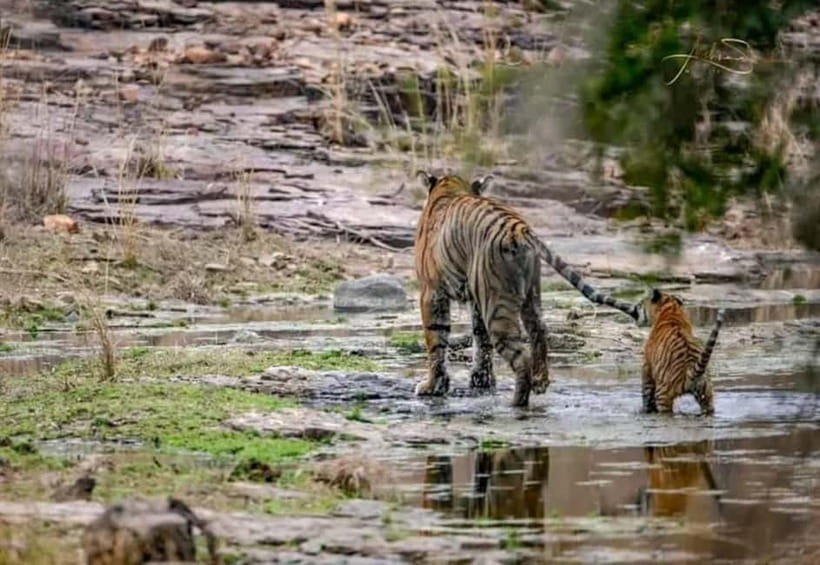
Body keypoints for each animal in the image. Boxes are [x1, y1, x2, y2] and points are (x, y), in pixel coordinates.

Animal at [413, 171, 643, 408]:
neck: (450, 187)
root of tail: (520, 229)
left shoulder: (432, 292)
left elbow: (436, 340)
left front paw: (432, 386)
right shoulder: (476, 300)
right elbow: (480, 340)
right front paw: (481, 381)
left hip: (497, 305)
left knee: (520, 355)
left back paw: (517, 402)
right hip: (530, 294)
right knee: (539, 329)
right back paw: (540, 381)